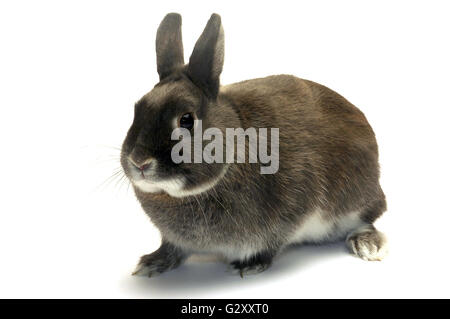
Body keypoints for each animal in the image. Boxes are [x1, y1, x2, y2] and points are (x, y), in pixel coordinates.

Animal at [119, 12, 386, 278]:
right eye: (137, 109)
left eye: (186, 120)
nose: (139, 161)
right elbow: (172, 248)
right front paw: (152, 262)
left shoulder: (290, 211)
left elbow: (272, 243)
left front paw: (250, 264)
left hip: (355, 199)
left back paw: (367, 245)